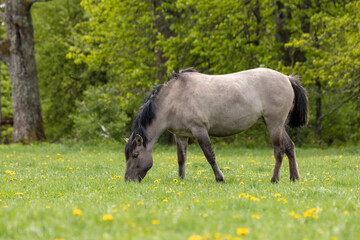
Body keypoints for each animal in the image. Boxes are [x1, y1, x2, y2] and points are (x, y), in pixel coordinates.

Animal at [125, 68, 308, 183]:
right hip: (278, 125)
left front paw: (220, 178)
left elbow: (210, 155)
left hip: (274, 124)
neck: (175, 97)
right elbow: (181, 158)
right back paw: (294, 178)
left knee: (279, 151)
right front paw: (181, 179)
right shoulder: (181, 135)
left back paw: (274, 180)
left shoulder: (199, 130)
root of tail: (287, 78)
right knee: (290, 147)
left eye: (135, 155)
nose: (128, 180)